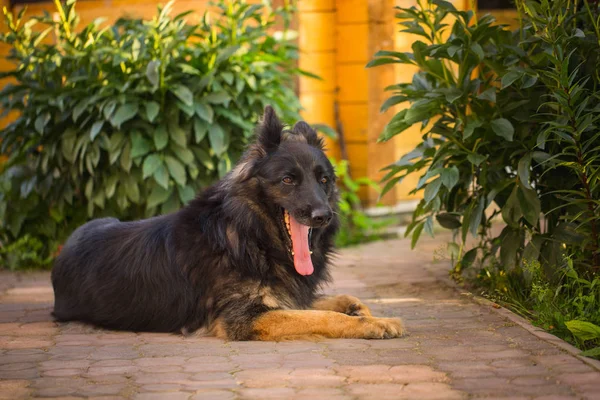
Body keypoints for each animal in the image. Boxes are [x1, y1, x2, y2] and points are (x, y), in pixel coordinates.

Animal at [51, 106, 406, 340]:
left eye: (323, 180)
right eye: (288, 180)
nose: (323, 216)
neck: (249, 236)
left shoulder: (286, 295)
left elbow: (337, 300)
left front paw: (362, 310)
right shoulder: (244, 318)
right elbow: (324, 316)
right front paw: (374, 323)